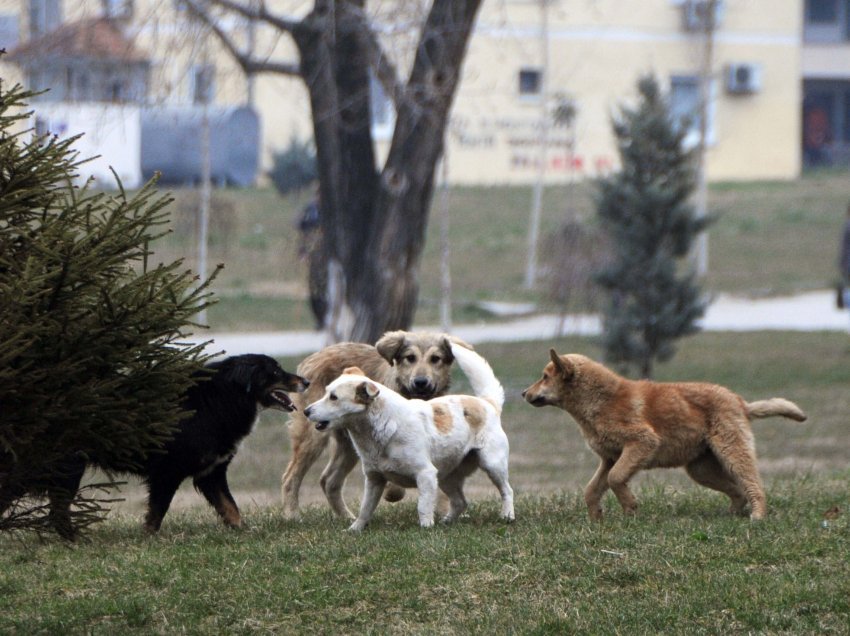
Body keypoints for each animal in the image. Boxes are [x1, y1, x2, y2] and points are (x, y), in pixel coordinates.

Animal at [1, 352, 306, 536]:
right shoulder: (167, 473)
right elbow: (158, 511)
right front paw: (148, 537)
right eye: (275, 372)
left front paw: (243, 531)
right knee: (54, 511)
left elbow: (230, 508)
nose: (305, 380)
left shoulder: (211, 473)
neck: (219, 399)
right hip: (64, 469)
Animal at [282, 330, 460, 520]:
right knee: (290, 477)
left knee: (328, 481)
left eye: (436, 358)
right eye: (410, 358)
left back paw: (347, 517)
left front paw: (445, 512)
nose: (420, 382)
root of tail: (313, 357)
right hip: (313, 437)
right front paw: (392, 492)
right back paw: (292, 515)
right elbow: (395, 480)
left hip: (349, 445)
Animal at [520, 348, 804, 520]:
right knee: (738, 491)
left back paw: (757, 515)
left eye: (544, 377)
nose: (523, 393)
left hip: (731, 451)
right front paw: (596, 518)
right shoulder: (610, 458)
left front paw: (630, 508)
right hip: (701, 469)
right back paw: (732, 513)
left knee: (753, 485)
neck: (599, 401)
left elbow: (615, 479)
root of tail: (741, 402)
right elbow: (592, 489)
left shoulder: (642, 442)